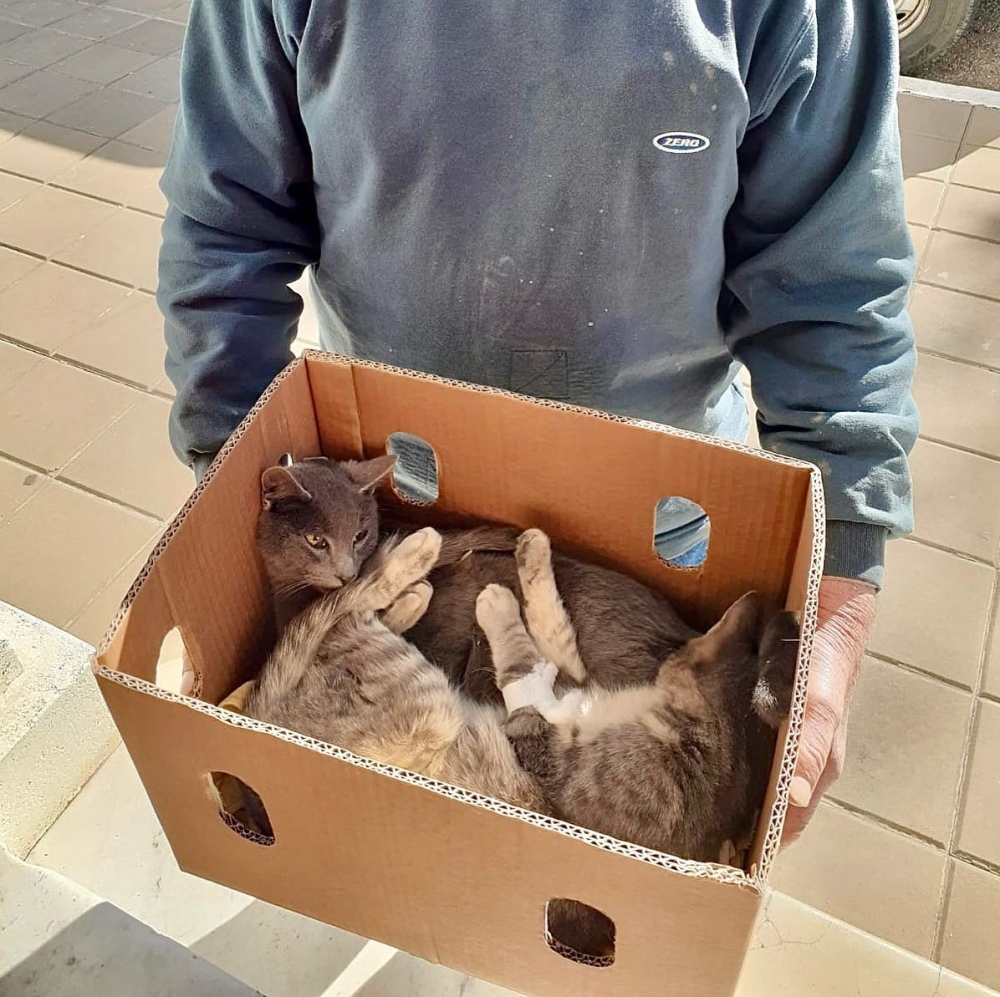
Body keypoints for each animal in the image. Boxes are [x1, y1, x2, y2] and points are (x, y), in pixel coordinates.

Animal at [476, 528, 796, 864]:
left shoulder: (551, 748)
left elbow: (524, 662)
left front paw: (497, 605)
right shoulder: (575, 692)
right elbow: (553, 627)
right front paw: (533, 551)